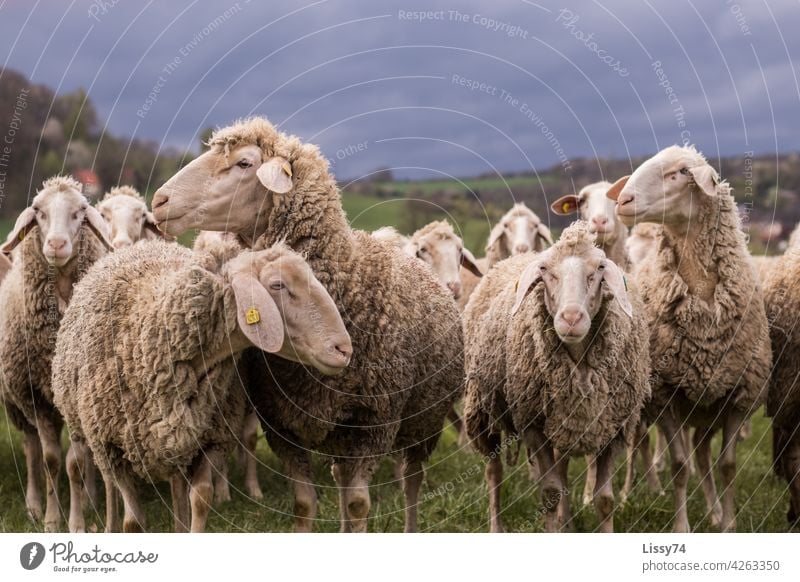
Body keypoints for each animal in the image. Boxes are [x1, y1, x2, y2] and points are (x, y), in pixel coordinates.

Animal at [0, 176, 112, 532]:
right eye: (38, 211)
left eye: (80, 212)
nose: (57, 244)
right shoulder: (33, 397)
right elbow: (50, 461)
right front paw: (51, 520)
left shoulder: (75, 396)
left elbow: (74, 464)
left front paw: (77, 522)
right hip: (16, 403)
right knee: (31, 449)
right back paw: (33, 504)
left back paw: (90, 499)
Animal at [50, 238, 350, 532]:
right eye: (278, 285)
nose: (344, 350)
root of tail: (139, 244)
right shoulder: (111, 445)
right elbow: (133, 522)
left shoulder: (211, 439)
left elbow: (201, 499)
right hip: (87, 430)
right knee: (105, 483)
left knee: (176, 489)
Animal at [152, 117, 462, 532]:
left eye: (244, 163)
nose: (159, 201)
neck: (349, 280)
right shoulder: (283, 426)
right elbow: (304, 504)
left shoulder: (373, 426)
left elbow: (359, 506)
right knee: (342, 479)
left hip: (422, 421)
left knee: (411, 481)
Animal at [462, 222, 648, 532]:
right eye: (545, 270)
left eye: (599, 268)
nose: (571, 318)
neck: (579, 364)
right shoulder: (533, 425)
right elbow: (549, 493)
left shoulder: (612, 429)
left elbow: (604, 500)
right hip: (483, 409)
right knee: (493, 471)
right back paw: (497, 525)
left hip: (562, 423)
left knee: (561, 469)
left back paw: (567, 522)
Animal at [608, 145, 776, 532]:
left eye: (681, 172)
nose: (622, 201)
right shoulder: (666, 397)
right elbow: (679, 467)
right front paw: (681, 526)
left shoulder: (736, 397)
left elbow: (727, 466)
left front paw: (728, 523)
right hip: (651, 405)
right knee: (642, 445)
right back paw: (626, 495)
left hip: (706, 409)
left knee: (702, 454)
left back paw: (713, 511)